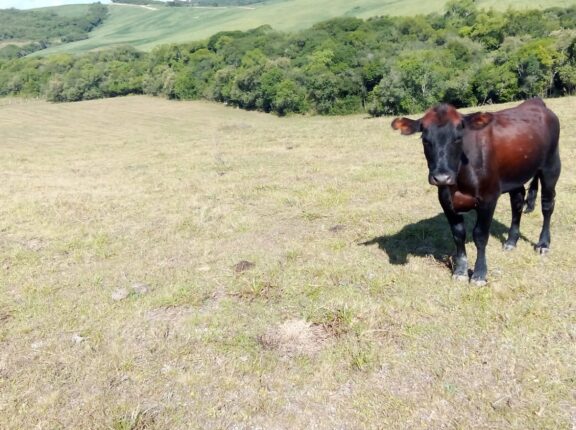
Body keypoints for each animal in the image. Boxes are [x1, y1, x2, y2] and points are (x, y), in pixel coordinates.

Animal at [390, 98, 560, 286]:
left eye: (458, 138)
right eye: (425, 140)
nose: (441, 177)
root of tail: (536, 103)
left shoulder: (488, 198)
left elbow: (480, 235)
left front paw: (479, 274)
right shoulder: (446, 200)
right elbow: (458, 234)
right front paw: (460, 271)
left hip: (551, 166)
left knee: (547, 205)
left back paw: (543, 244)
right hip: (515, 174)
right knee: (517, 203)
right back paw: (511, 241)